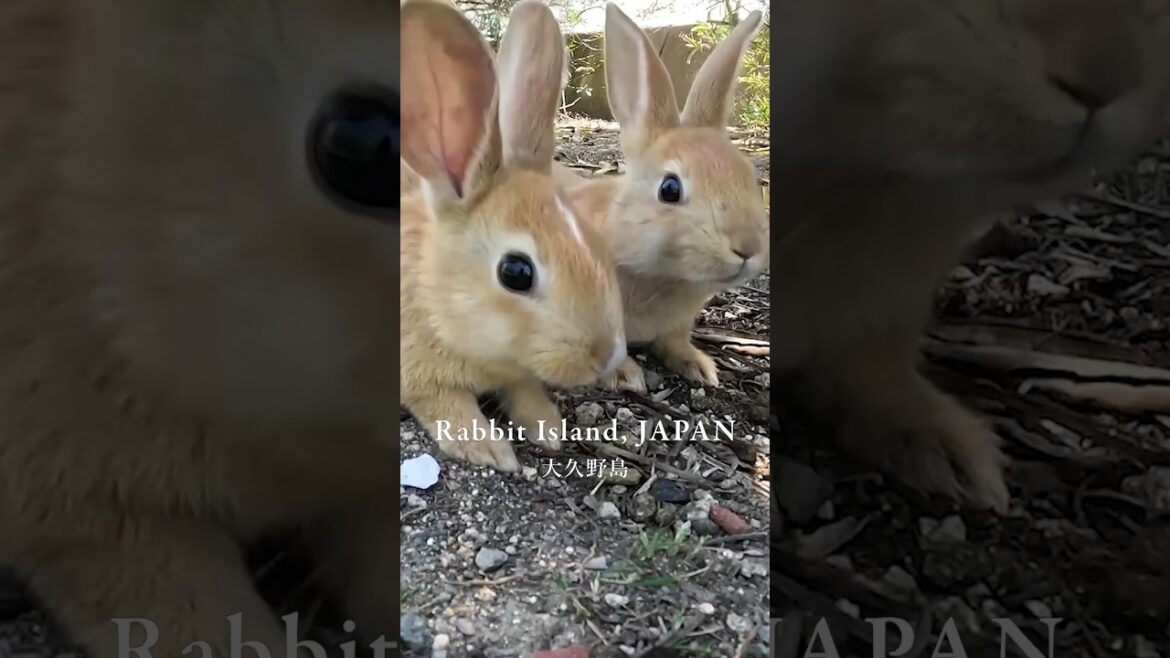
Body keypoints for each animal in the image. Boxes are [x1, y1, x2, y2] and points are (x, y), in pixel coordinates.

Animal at [399, 0, 627, 473]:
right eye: (516, 272)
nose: (606, 356)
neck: (434, 291)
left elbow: (526, 393)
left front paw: (549, 429)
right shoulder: (421, 377)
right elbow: (446, 406)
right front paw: (490, 448)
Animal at [553, 3, 769, 392]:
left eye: (752, 181)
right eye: (670, 189)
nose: (747, 248)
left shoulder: (677, 324)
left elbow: (675, 341)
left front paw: (699, 367)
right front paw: (623, 375)